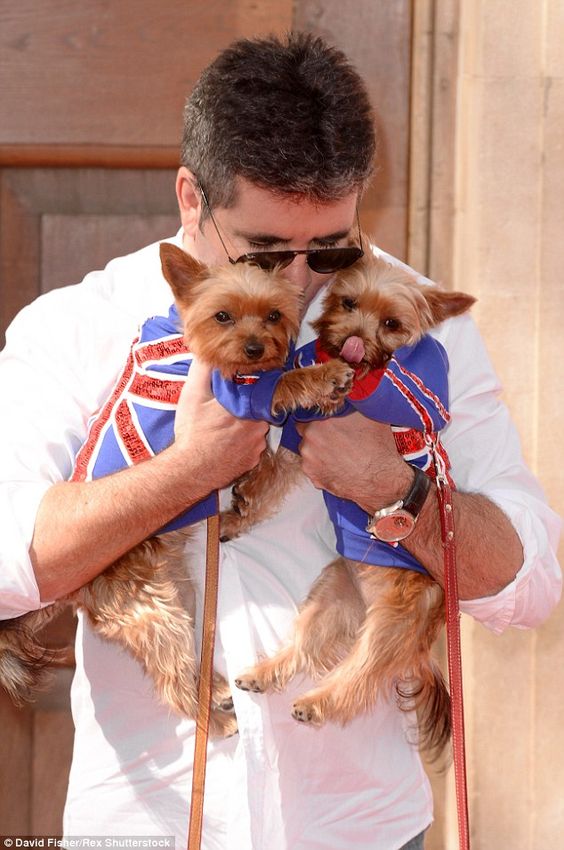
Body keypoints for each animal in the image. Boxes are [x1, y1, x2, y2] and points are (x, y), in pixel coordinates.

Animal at [0, 242, 352, 732]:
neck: (187, 336)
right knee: (173, 682)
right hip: (150, 608)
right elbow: (281, 382)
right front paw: (321, 376)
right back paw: (218, 719)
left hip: (178, 590)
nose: (255, 348)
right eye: (222, 316)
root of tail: (76, 588)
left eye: (274, 315)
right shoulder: (239, 395)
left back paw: (217, 690)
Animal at [225, 252, 476, 756]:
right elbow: (272, 472)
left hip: (395, 619)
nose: (356, 342)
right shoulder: (300, 438)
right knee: (305, 646)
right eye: (348, 302)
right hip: (332, 595)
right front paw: (237, 509)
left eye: (392, 323)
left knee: (362, 673)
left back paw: (317, 701)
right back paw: (262, 674)